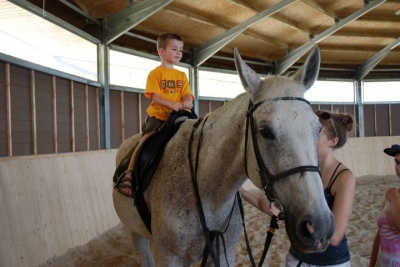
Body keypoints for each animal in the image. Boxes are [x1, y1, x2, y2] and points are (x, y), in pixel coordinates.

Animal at [112, 47, 334, 266]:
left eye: (318, 129)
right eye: (265, 131)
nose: (319, 227)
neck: (207, 191)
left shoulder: (224, 253)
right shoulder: (168, 258)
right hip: (137, 234)